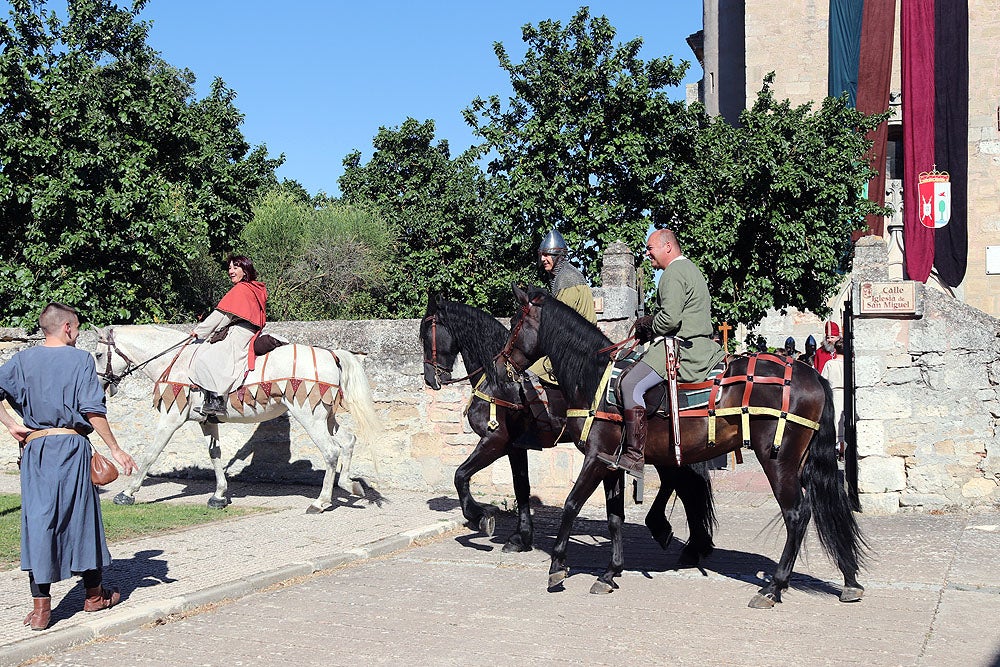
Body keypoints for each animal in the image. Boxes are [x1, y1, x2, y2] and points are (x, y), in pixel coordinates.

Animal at [94, 326, 382, 516]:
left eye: (97, 355)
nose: (101, 385)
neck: (175, 361)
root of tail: (332, 354)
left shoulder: (170, 419)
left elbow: (150, 455)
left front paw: (127, 493)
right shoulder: (208, 421)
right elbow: (216, 456)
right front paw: (219, 495)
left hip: (309, 415)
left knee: (331, 451)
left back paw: (320, 502)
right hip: (327, 417)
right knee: (348, 441)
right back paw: (350, 485)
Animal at [418, 294, 716, 560]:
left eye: (424, 334)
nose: (431, 379)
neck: (497, 382)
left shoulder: (495, 441)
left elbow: (460, 475)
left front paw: (480, 516)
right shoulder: (516, 446)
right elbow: (521, 487)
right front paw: (521, 537)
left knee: (682, 484)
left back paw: (684, 541)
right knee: (682, 484)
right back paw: (691, 543)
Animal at [500, 284, 868, 608]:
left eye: (516, 323)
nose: (502, 362)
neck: (594, 378)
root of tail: (813, 375)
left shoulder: (596, 459)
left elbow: (572, 504)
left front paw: (557, 567)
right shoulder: (611, 463)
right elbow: (615, 517)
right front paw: (610, 573)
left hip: (778, 462)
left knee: (796, 514)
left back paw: (773, 588)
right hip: (801, 462)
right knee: (823, 507)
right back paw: (849, 580)